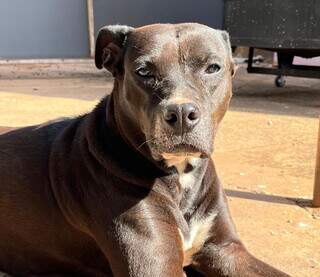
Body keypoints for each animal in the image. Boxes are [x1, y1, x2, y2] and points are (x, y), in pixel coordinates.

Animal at [0, 23, 290, 276]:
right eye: (143, 71)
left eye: (212, 68)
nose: (181, 114)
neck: (179, 174)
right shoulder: (154, 264)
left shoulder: (225, 250)